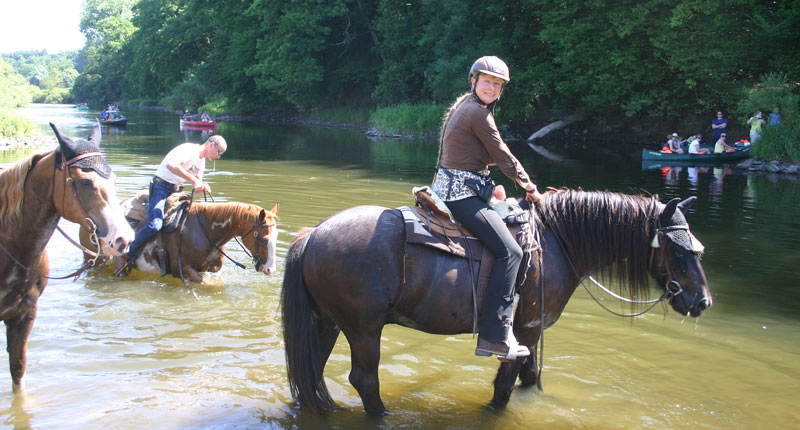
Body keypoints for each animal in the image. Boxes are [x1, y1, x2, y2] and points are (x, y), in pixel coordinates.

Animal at [80, 200, 282, 284]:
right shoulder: (182, 270)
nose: (270, 269)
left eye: (277, 236)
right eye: (264, 239)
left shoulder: (210, 270)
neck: (205, 229)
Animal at [282, 190, 712, 414]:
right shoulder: (525, 330)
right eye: (677, 250)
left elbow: (530, 378)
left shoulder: (531, 333)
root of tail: (314, 234)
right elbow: (505, 387)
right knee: (364, 380)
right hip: (363, 330)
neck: (557, 242)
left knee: (312, 371)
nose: (703, 301)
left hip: (327, 323)